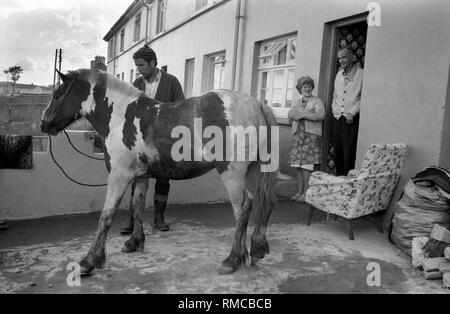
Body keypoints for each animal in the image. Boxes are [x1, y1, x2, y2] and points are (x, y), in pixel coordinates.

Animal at [40, 70, 278, 276]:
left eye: (56, 95)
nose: (43, 124)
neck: (120, 116)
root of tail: (258, 104)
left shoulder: (119, 176)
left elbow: (106, 216)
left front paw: (89, 261)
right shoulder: (140, 177)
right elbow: (137, 207)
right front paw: (134, 242)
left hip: (231, 173)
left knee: (243, 208)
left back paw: (233, 259)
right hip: (253, 171)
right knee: (263, 202)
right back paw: (256, 249)